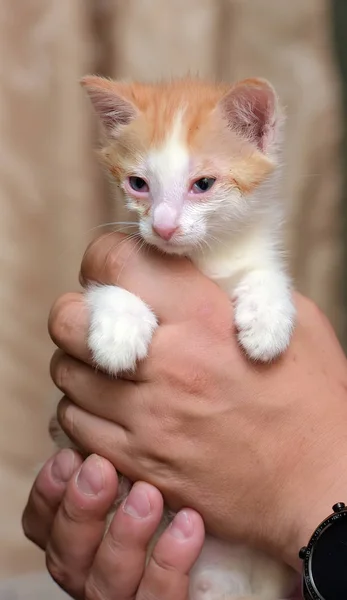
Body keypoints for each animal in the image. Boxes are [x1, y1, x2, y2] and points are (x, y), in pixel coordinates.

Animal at [51, 77, 296, 600]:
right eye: (137, 184)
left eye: (203, 184)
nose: (162, 226)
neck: (201, 261)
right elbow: (106, 289)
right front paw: (120, 325)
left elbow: (266, 271)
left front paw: (268, 317)